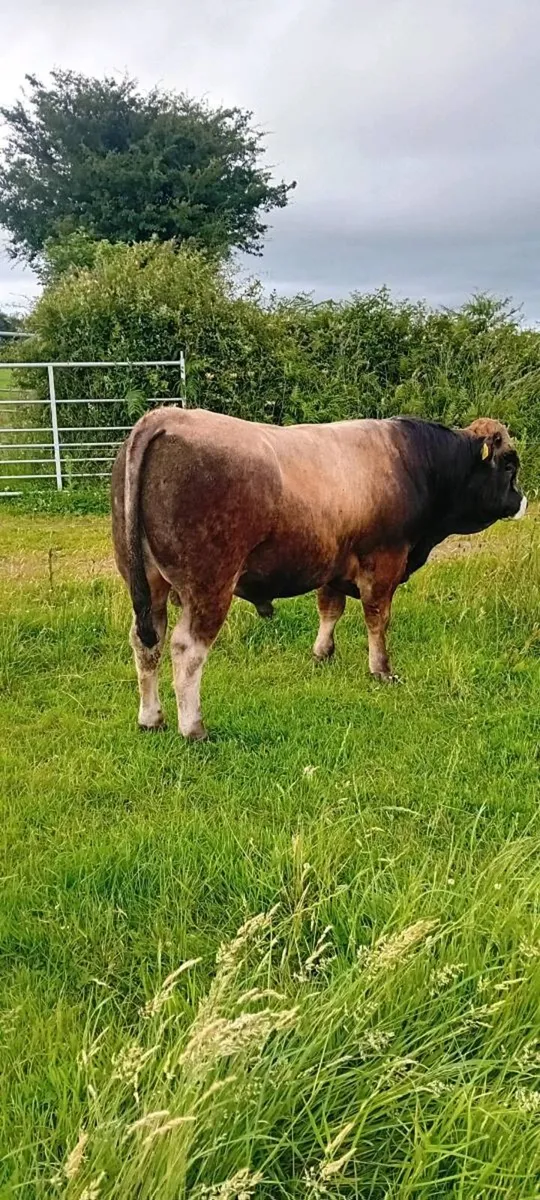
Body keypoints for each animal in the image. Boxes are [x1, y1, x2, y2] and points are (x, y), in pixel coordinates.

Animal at [111, 408, 526, 740]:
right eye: (508, 464)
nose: (521, 501)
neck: (415, 463)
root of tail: (166, 416)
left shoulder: (334, 565)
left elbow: (330, 608)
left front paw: (322, 653)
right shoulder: (384, 561)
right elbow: (378, 619)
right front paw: (382, 670)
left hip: (148, 583)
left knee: (146, 642)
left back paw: (151, 718)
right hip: (209, 585)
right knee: (187, 650)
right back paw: (193, 728)